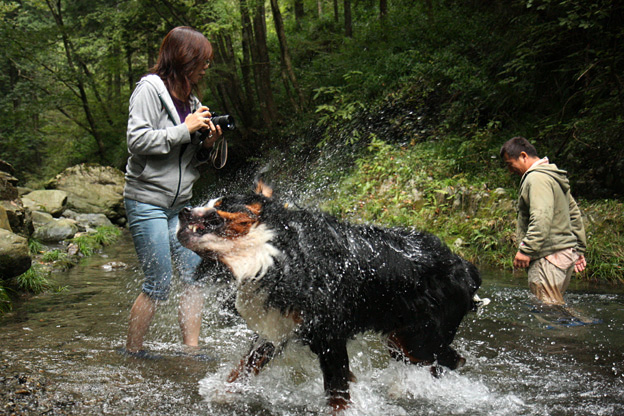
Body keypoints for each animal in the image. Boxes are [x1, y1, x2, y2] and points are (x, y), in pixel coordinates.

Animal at [177, 180, 482, 412]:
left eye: (222, 204)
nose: (183, 211)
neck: (277, 253)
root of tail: (463, 265)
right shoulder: (278, 325)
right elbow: (245, 366)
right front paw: (223, 391)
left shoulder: (329, 335)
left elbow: (337, 390)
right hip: (399, 338)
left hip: (420, 340)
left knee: (451, 361)